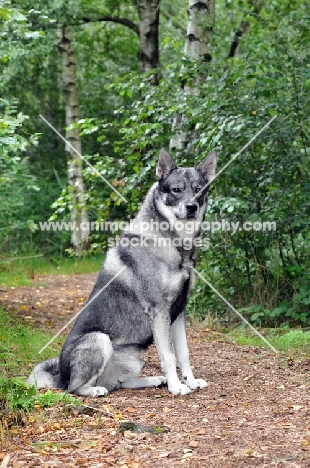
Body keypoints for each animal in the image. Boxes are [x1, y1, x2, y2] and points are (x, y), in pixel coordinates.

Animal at [26, 149, 217, 394]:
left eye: (198, 189)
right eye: (176, 189)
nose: (192, 207)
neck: (174, 243)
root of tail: (60, 375)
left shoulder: (179, 311)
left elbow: (183, 354)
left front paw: (190, 381)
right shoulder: (159, 311)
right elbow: (168, 356)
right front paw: (177, 387)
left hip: (135, 360)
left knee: (120, 383)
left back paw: (153, 380)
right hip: (99, 340)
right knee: (75, 389)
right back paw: (95, 390)